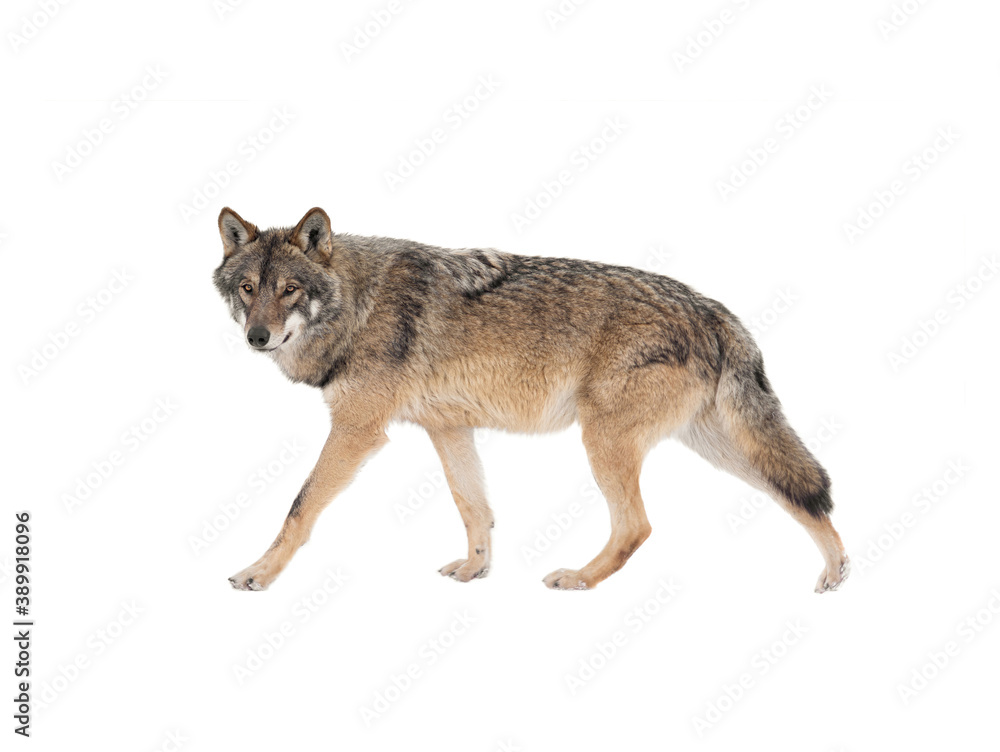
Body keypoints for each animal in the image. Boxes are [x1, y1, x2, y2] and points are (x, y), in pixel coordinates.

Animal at [213, 207, 848, 594]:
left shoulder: (357, 430)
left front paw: (257, 573)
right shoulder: (449, 429)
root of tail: (713, 309)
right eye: (248, 288)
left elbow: (298, 509)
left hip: (604, 442)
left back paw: (580, 579)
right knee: (803, 494)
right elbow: (474, 507)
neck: (357, 305)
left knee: (637, 527)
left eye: (289, 290)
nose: (257, 337)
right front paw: (476, 569)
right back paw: (837, 570)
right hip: (721, 447)